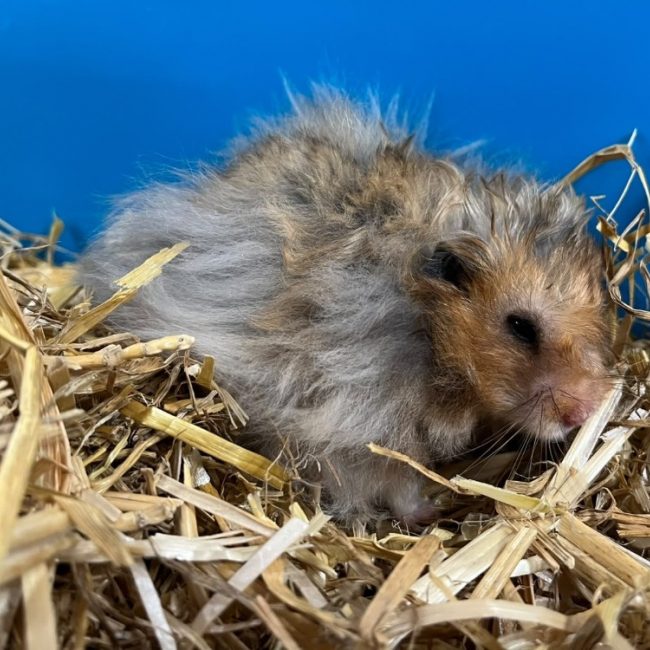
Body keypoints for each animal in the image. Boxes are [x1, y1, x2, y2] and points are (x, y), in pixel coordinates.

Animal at [81, 87, 613, 525]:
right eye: (520, 326)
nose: (586, 410)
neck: (428, 332)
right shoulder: (359, 422)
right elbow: (393, 480)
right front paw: (429, 508)